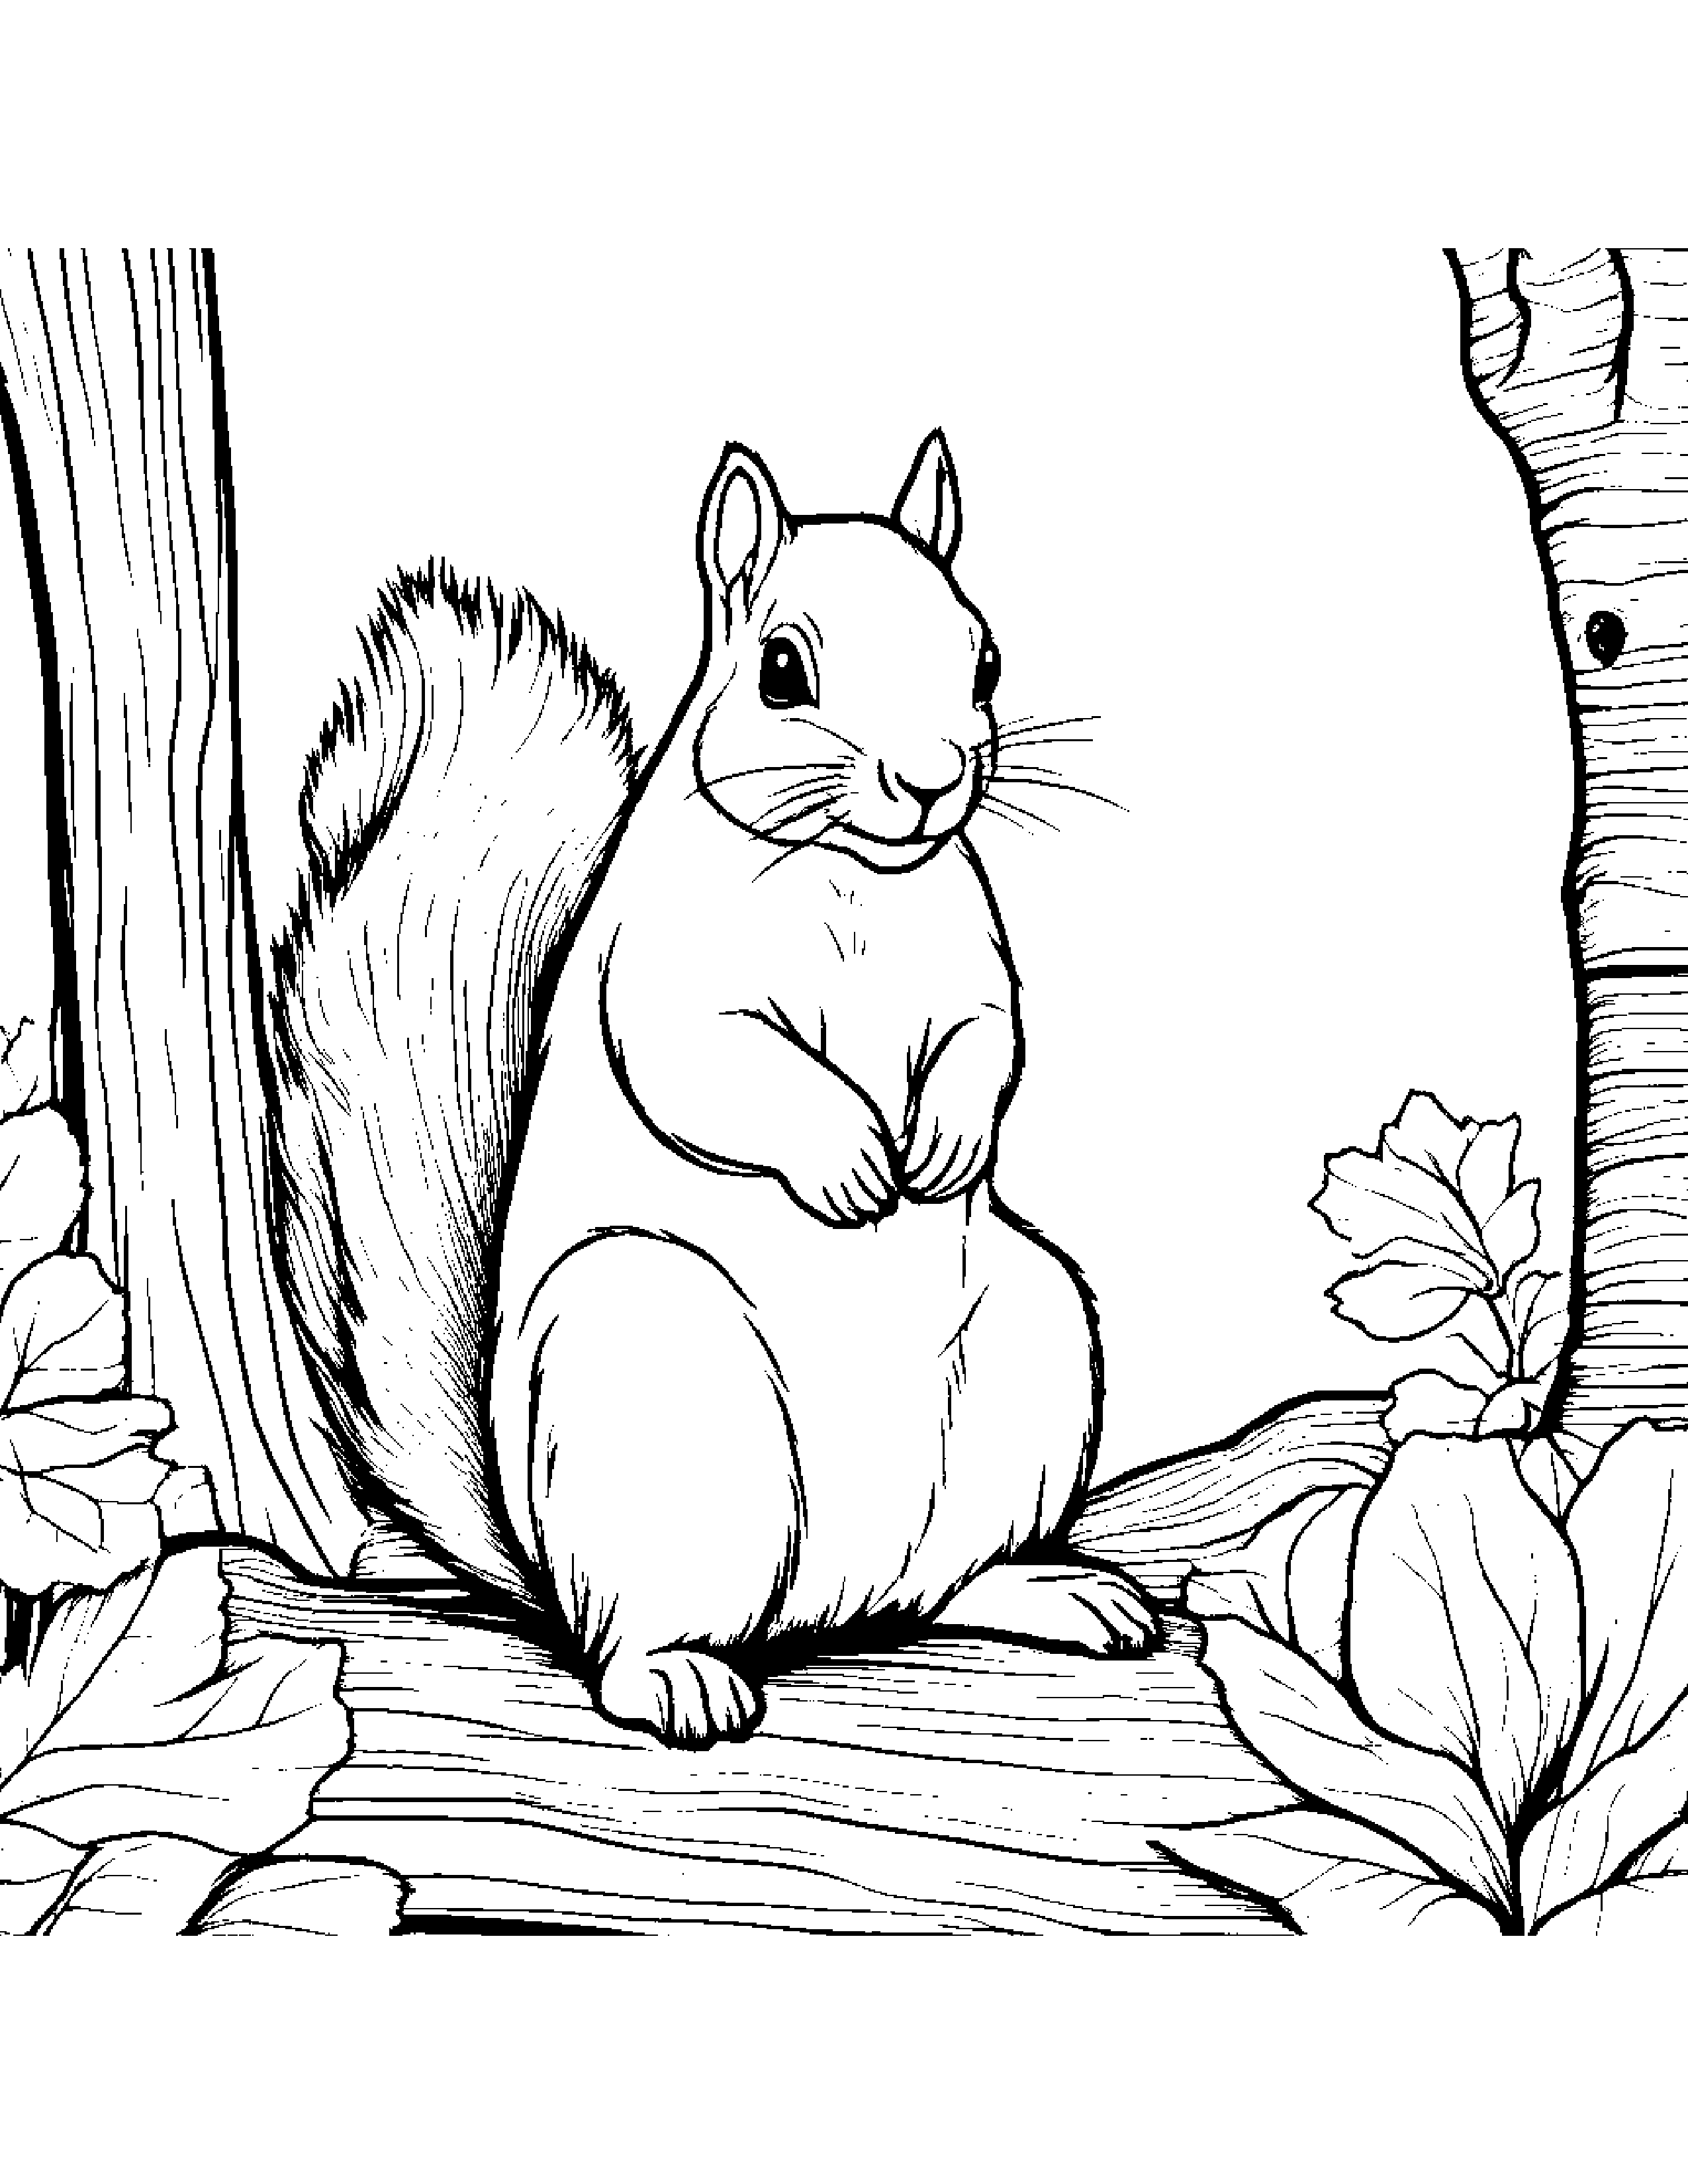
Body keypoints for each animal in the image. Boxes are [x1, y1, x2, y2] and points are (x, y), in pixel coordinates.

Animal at [267, 430, 1159, 1748]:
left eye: (983, 656)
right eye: (781, 670)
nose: (933, 778)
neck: (852, 877)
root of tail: (835, 1593)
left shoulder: (972, 960)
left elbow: (987, 1043)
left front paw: (942, 1139)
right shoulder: (666, 975)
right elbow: (713, 1064)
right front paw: (851, 1160)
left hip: (1032, 1346)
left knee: (938, 1586)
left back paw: (1048, 1591)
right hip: (654, 1374)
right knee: (636, 1632)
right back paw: (676, 1676)